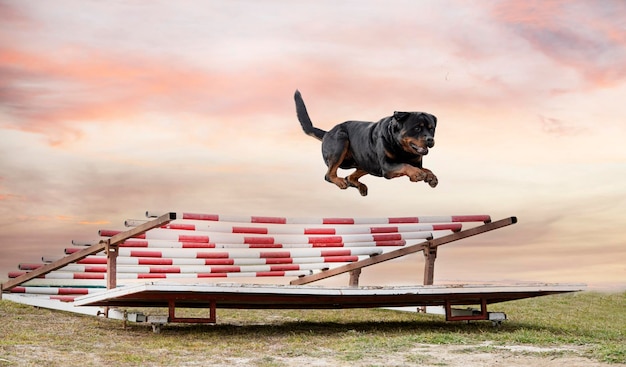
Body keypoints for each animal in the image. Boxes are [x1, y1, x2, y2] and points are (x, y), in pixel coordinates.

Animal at [294, 90, 436, 197]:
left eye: (431, 129)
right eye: (417, 128)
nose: (430, 139)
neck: (400, 147)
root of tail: (327, 132)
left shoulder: (414, 162)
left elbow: (425, 168)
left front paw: (431, 177)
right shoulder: (387, 166)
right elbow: (404, 165)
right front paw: (417, 174)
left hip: (366, 163)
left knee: (350, 177)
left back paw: (360, 186)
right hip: (341, 141)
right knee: (329, 174)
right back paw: (340, 182)